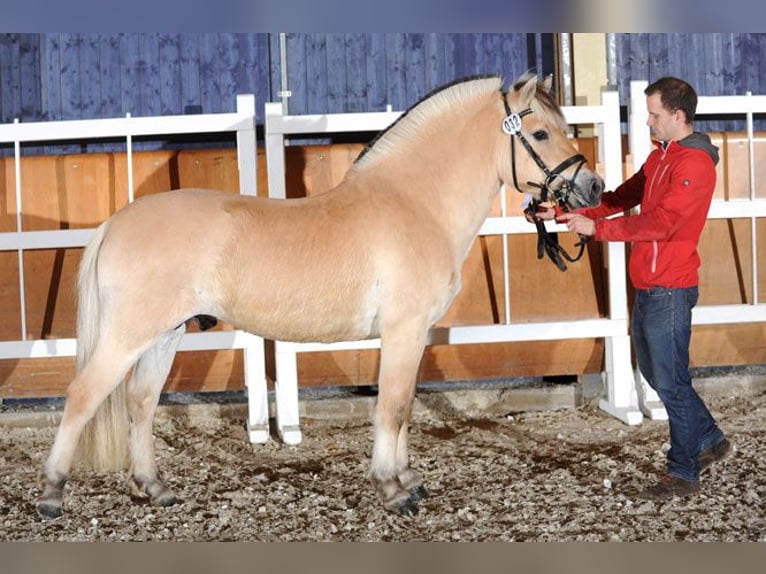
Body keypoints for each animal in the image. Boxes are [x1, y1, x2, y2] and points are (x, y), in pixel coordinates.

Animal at [37, 72, 604, 519]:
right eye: (539, 132)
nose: (593, 188)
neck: (415, 203)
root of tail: (114, 223)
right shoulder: (403, 330)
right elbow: (392, 407)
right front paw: (394, 491)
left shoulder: (415, 336)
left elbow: (404, 407)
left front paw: (408, 482)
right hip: (128, 335)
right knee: (82, 396)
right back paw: (51, 496)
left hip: (164, 335)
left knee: (141, 401)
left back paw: (155, 488)